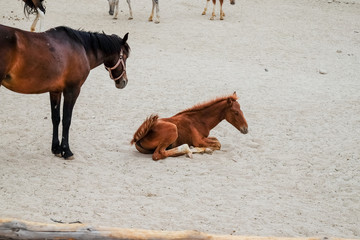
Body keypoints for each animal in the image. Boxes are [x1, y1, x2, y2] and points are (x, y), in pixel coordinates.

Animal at [0, 24, 131, 159]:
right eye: (125, 56)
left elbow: (56, 118)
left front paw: (56, 148)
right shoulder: (72, 91)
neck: (81, 48)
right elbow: (67, 119)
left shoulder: (55, 91)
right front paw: (66, 150)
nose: (124, 81)